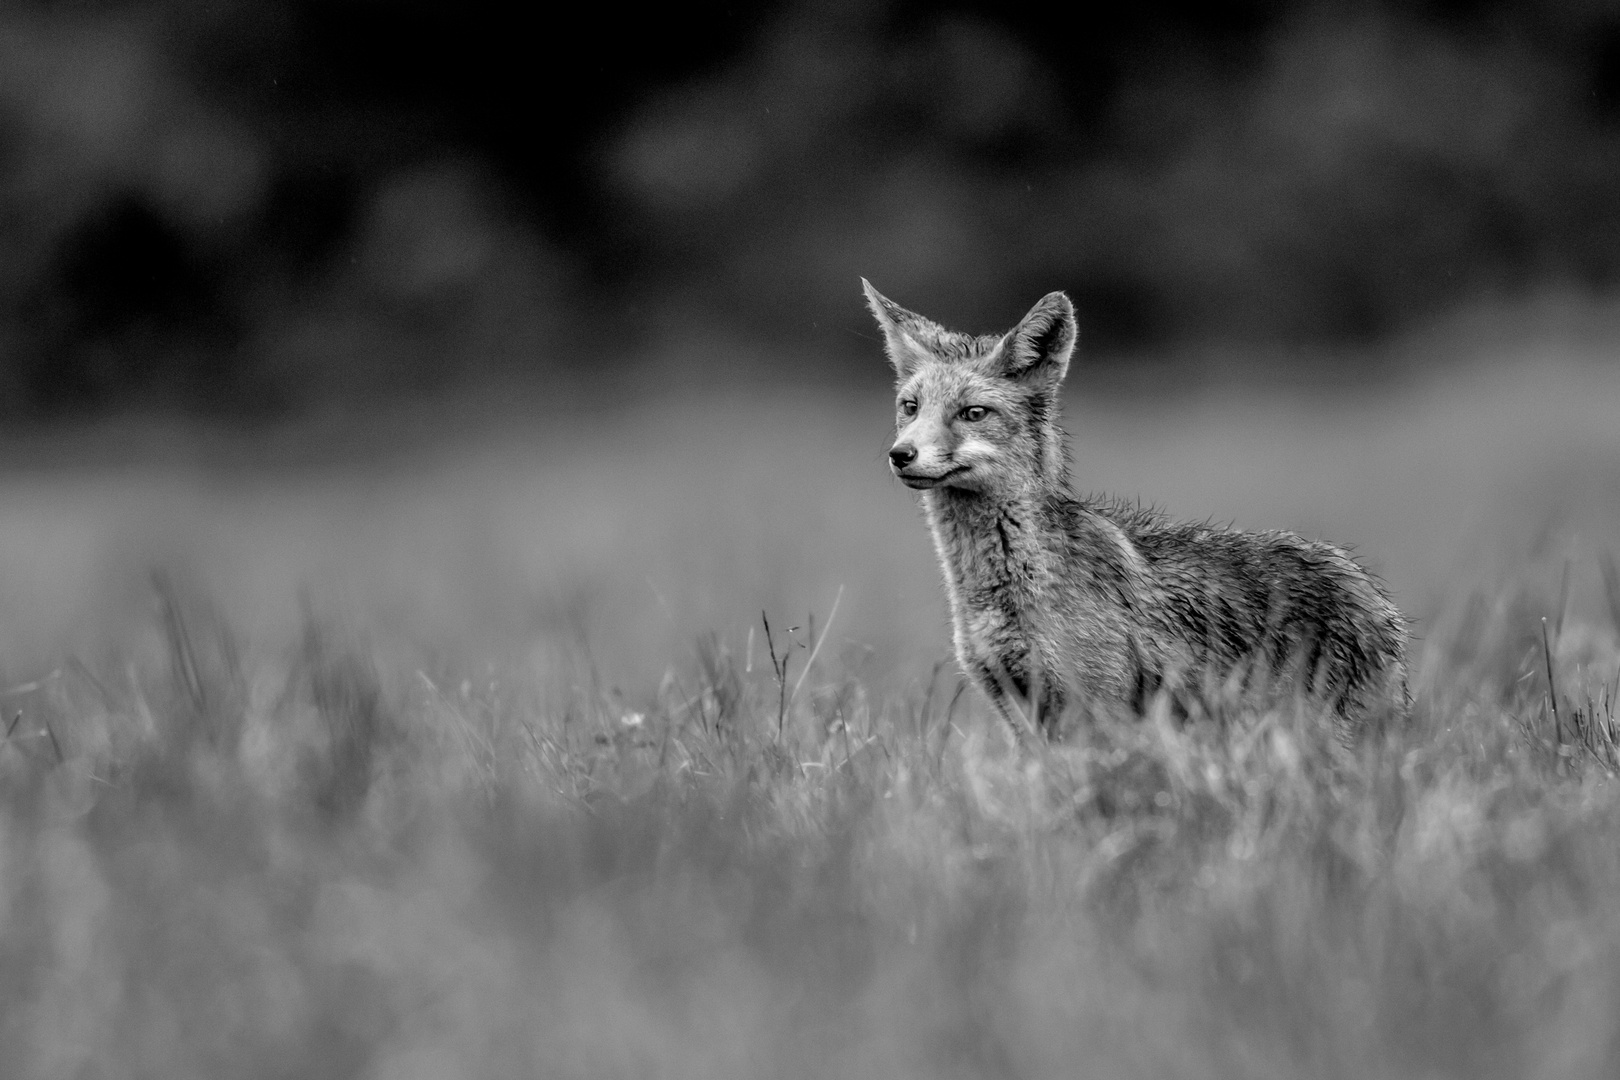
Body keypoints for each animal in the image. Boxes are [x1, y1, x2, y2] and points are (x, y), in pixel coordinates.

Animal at [861, 275, 1406, 738]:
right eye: (911, 408)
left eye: (972, 413)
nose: (900, 455)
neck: (1000, 590)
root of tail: (1371, 592)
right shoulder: (1016, 710)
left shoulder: (1097, 709)